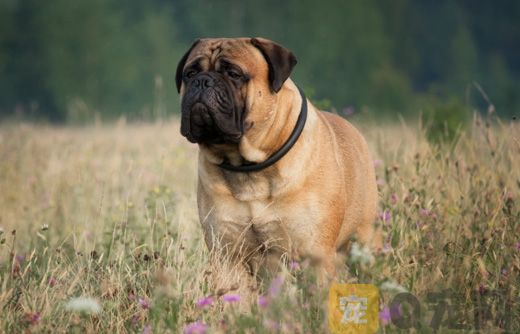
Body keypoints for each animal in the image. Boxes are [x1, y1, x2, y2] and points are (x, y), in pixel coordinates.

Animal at [176, 37, 382, 280]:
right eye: (190, 73)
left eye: (234, 73)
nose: (202, 81)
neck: (248, 166)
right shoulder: (228, 255)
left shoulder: (316, 255)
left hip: (366, 241)